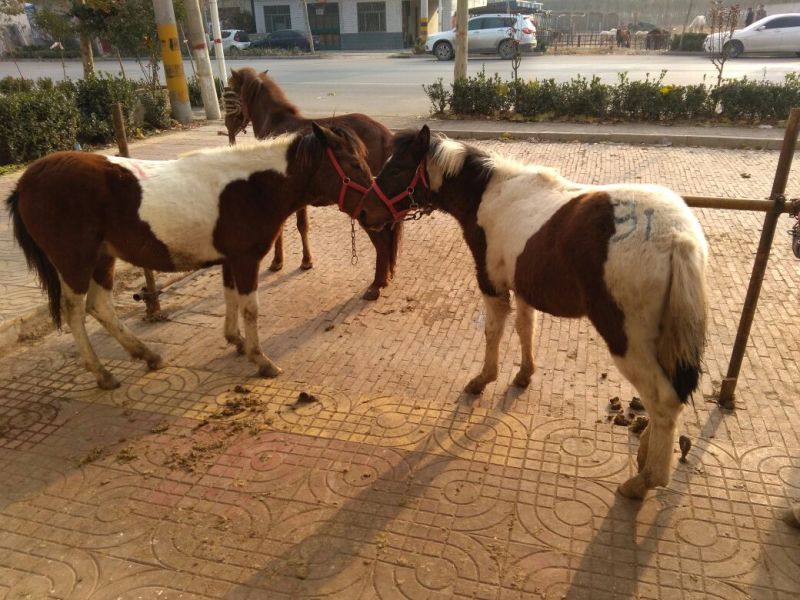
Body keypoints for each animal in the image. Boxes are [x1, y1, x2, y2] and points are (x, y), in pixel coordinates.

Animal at [7, 124, 372, 389]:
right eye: (354, 164)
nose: (373, 209)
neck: (253, 187)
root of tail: (25, 182)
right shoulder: (245, 260)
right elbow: (250, 309)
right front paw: (260, 359)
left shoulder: (230, 259)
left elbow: (230, 298)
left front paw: (235, 340)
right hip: (75, 263)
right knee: (75, 313)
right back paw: (102, 373)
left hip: (102, 258)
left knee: (100, 307)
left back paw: (146, 355)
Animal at [225, 66, 401, 301]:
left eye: (230, 91)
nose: (228, 126)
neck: (276, 123)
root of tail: (385, 135)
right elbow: (302, 225)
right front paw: (306, 260)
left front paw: (278, 262)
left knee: (381, 240)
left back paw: (377, 283)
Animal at [355, 126, 709, 499]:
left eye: (396, 169)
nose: (363, 213)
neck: (489, 194)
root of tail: (677, 237)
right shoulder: (523, 288)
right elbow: (526, 328)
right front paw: (524, 374)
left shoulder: (492, 286)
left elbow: (493, 332)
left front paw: (483, 379)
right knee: (664, 399)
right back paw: (644, 456)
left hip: (627, 341)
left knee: (664, 402)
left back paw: (644, 482)